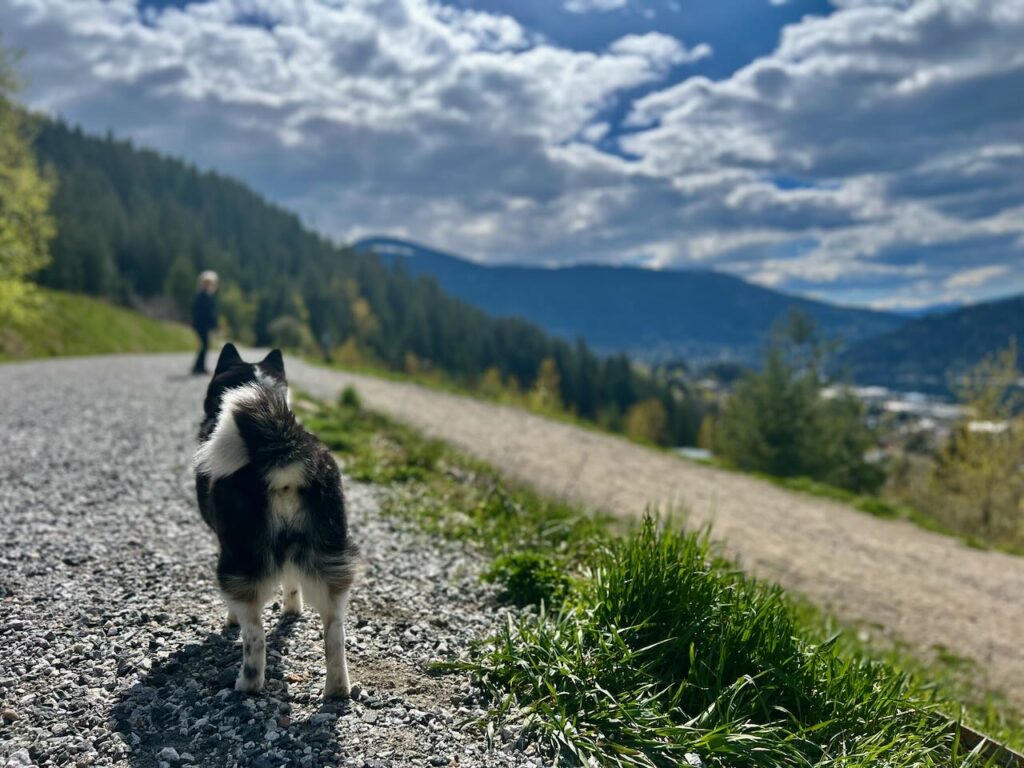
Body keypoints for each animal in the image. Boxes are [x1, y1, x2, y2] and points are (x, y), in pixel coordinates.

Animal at [193, 346, 358, 700]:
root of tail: (284, 453)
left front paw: (229, 622)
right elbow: (291, 581)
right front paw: (292, 610)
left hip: (238, 561)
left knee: (255, 637)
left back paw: (247, 685)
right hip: (329, 554)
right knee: (334, 631)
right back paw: (337, 689)